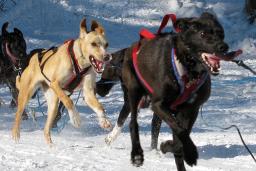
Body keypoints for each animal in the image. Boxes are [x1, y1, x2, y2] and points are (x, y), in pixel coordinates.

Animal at [97, 12, 240, 170]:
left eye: (221, 34)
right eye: (202, 34)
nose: (223, 47)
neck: (188, 70)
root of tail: (131, 47)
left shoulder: (191, 109)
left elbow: (181, 135)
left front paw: (169, 146)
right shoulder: (159, 104)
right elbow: (181, 131)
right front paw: (190, 153)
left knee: (154, 126)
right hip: (134, 93)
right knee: (132, 123)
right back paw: (136, 154)